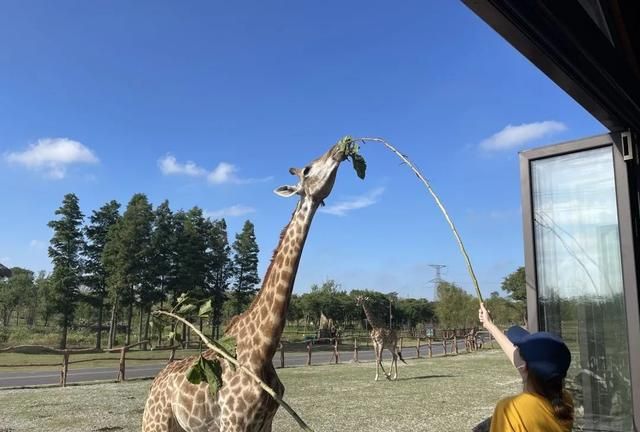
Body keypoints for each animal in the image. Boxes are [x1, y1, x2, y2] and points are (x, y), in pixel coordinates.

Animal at [142, 143, 350, 432]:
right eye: (307, 169)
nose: (338, 149)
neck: (263, 348)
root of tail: (154, 382)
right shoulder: (234, 422)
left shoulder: (265, 422)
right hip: (156, 421)